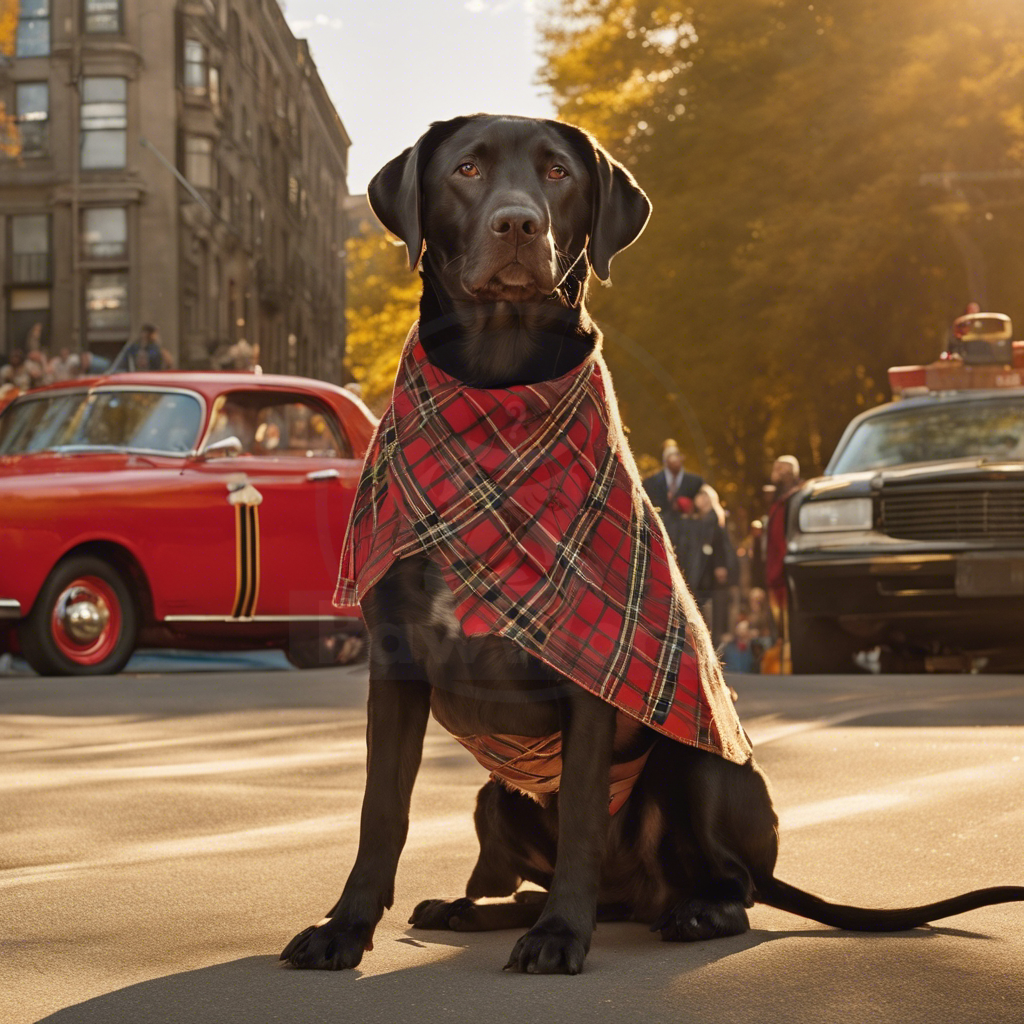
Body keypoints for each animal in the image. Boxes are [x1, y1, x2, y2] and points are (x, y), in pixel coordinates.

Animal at [282, 114, 1024, 974]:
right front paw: (343, 929)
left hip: (698, 767)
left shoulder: (591, 678)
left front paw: (559, 941)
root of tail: (640, 893)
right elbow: (381, 814)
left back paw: (685, 913)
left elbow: (579, 818)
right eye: (466, 168)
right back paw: (475, 909)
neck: (498, 397)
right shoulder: (397, 663)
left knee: (729, 883)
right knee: (554, 883)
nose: (518, 225)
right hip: (494, 795)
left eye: (558, 172)